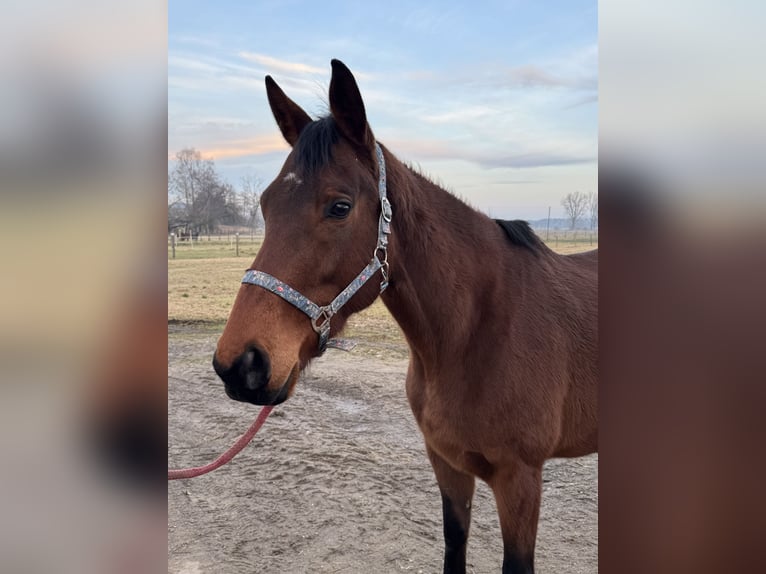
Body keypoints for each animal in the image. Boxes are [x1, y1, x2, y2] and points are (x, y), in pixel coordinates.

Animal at [212, 59, 600, 574]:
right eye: (265, 204)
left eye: (339, 206)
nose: (241, 364)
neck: (477, 334)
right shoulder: (447, 463)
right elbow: (454, 543)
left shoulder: (520, 479)